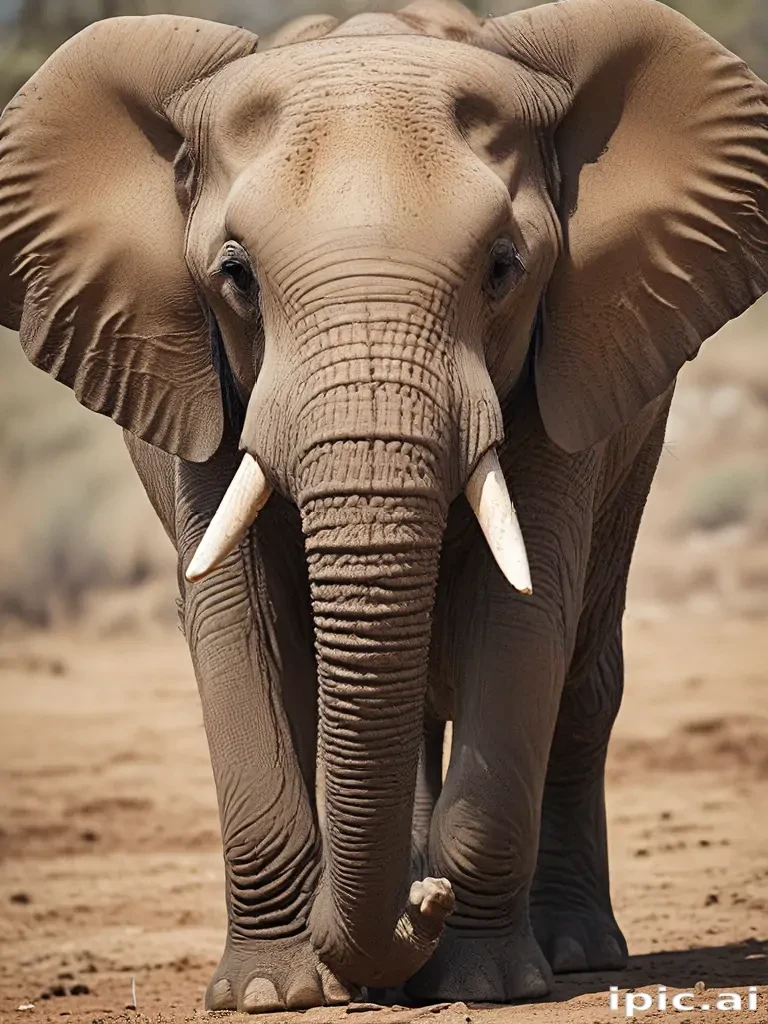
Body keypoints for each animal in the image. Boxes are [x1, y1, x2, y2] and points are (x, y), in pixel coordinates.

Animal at [0, 0, 766, 1011]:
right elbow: (238, 623)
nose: (425, 903)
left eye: (503, 269)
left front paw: (483, 980)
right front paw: (270, 995)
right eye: (236, 276)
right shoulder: (197, 383)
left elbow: (519, 618)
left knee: (583, 674)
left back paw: (573, 952)